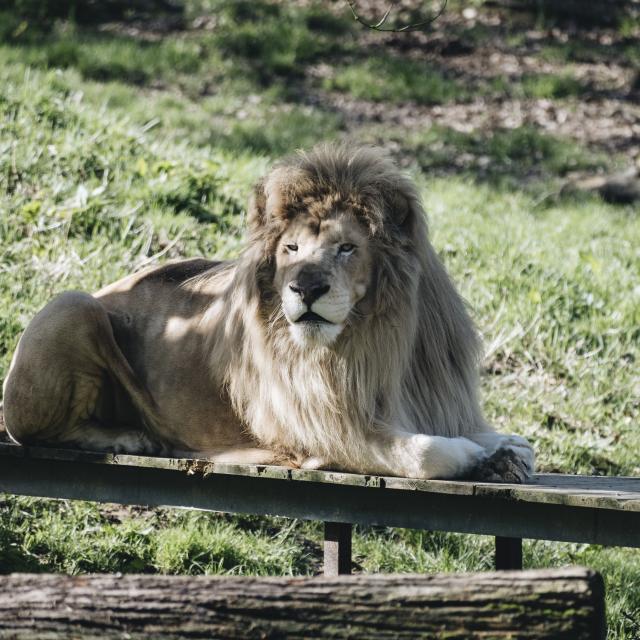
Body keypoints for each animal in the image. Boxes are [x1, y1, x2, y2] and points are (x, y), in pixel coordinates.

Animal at [2, 145, 536, 482]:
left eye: (346, 248)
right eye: (291, 249)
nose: (306, 287)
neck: (377, 339)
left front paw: (508, 449)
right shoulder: (326, 426)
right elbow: (422, 450)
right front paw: (478, 455)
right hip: (72, 306)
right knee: (36, 431)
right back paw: (135, 440)